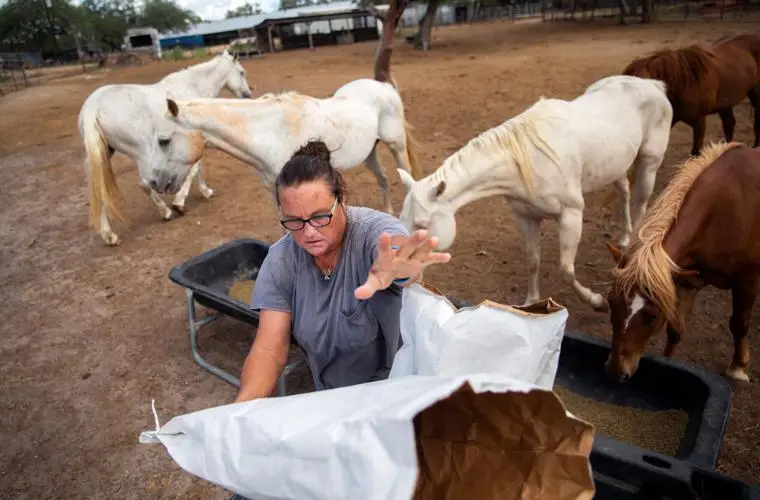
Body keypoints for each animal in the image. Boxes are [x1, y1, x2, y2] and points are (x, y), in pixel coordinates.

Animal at [79, 50, 252, 246]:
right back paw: (166, 212)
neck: (191, 86)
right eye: (241, 72)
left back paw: (109, 235)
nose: (248, 94)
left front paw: (204, 192)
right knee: (145, 183)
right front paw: (181, 203)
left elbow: (197, 168)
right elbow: (194, 170)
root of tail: (93, 107)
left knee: (99, 190)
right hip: (142, 152)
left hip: (103, 155)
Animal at [394, 74, 672, 310]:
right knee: (625, 192)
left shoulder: (571, 215)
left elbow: (566, 269)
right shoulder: (526, 217)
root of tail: (653, 85)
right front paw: (530, 303)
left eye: (421, 225)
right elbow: (532, 260)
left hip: (649, 162)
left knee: (641, 202)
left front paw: (597, 301)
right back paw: (624, 237)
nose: (399, 272)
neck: (525, 161)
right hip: (616, 166)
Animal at [604, 143, 760, 384]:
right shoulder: (688, 281)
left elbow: (739, 324)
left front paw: (738, 367)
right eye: (612, 303)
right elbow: (675, 330)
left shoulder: (748, 282)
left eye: (651, 316)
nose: (614, 371)